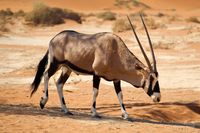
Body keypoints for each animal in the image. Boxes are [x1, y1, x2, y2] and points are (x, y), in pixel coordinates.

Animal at [30, 14, 161, 119]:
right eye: (151, 79)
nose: (158, 98)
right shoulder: (96, 74)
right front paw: (94, 112)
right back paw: (43, 102)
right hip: (55, 63)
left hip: (66, 68)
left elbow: (120, 95)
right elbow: (95, 92)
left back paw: (66, 109)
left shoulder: (116, 79)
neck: (116, 52)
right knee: (46, 75)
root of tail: (53, 39)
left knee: (59, 83)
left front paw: (125, 114)